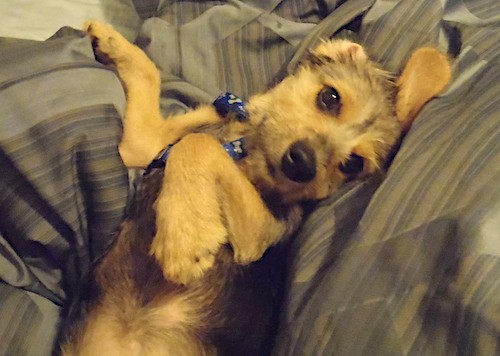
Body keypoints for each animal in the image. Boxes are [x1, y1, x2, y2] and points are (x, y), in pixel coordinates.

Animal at [60, 20, 452, 354]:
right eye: (330, 97)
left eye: (353, 164)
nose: (303, 164)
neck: (241, 147)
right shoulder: (142, 145)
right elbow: (152, 77)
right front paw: (110, 39)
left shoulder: (260, 233)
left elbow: (198, 146)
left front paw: (186, 236)